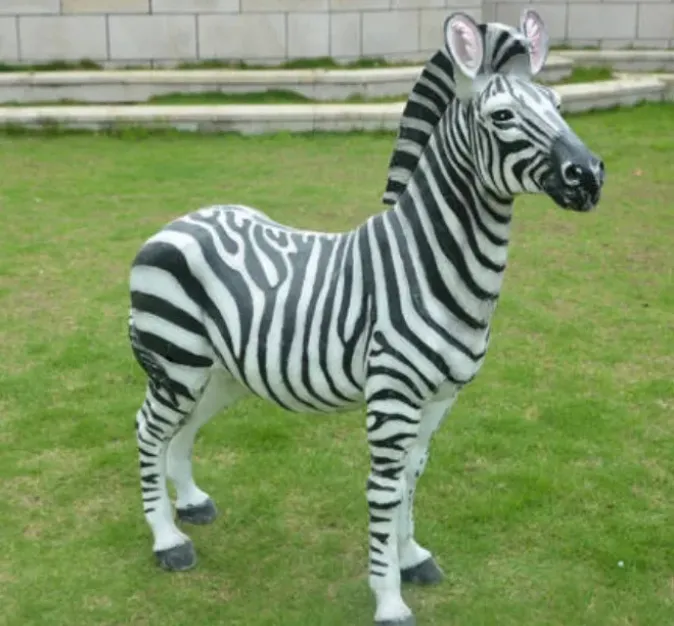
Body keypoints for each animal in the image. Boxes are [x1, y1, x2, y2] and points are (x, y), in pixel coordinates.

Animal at [128, 10, 604, 626]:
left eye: (558, 105)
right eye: (502, 116)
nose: (590, 176)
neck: (430, 263)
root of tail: (179, 222)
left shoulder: (439, 399)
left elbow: (410, 478)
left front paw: (413, 556)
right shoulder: (392, 398)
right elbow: (384, 489)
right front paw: (389, 599)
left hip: (222, 371)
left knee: (181, 430)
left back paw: (188, 504)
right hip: (176, 359)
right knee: (148, 429)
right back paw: (167, 540)